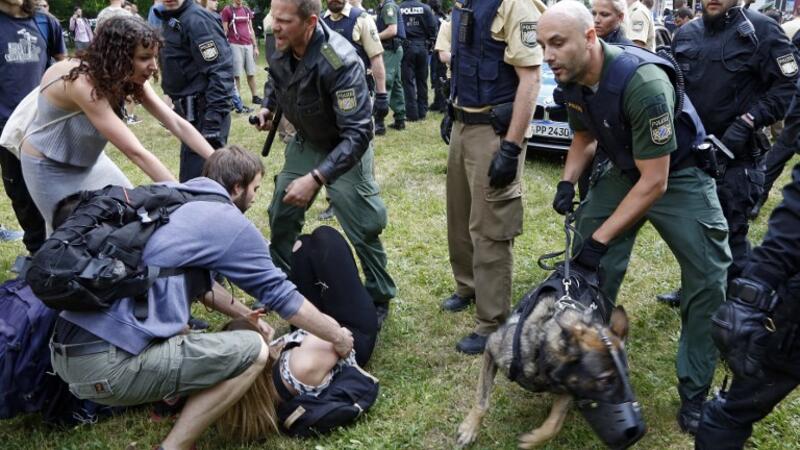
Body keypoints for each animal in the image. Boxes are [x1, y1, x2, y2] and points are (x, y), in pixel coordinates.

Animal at [456, 269, 636, 449]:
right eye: (605, 380)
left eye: (625, 375)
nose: (636, 433)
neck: (541, 354)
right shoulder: (491, 350)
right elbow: (482, 401)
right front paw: (469, 429)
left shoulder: (569, 389)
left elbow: (554, 425)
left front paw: (533, 440)